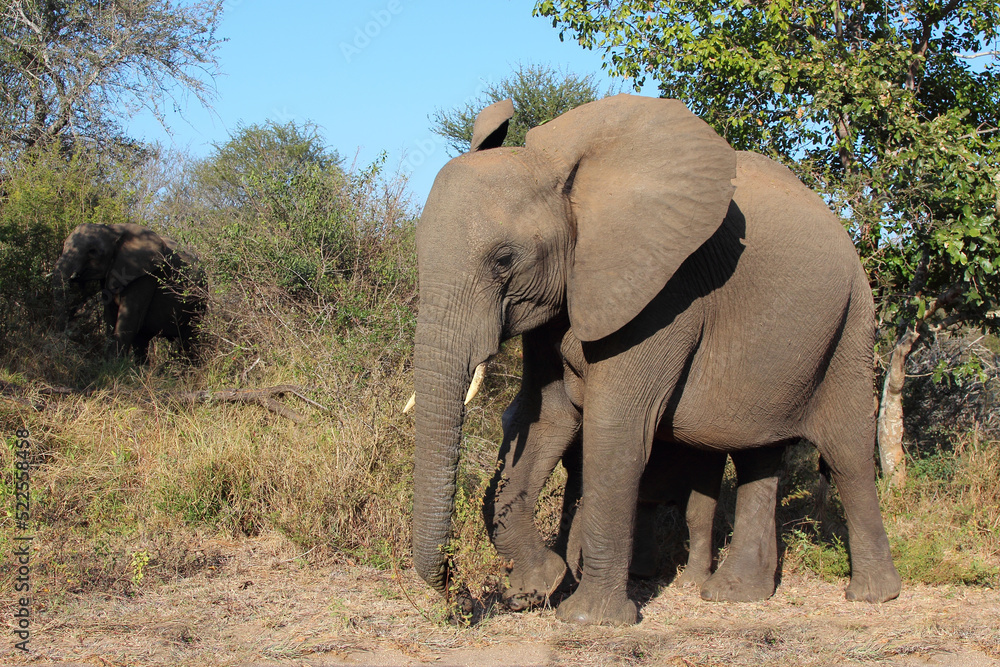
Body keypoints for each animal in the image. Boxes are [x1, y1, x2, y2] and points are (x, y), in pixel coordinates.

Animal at [53, 223, 207, 360]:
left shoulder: (145, 275)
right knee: (141, 341)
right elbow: (110, 316)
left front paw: (112, 365)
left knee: (189, 339)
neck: (113, 230)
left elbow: (128, 318)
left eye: (93, 251)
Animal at [410, 94, 904, 628]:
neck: (566, 174)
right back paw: (735, 596)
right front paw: (540, 584)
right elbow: (544, 417)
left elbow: (614, 426)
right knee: (759, 454)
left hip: (852, 319)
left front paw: (588, 619)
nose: (456, 590)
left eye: (503, 259)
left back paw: (874, 596)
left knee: (848, 451)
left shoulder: (665, 292)